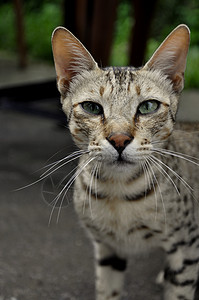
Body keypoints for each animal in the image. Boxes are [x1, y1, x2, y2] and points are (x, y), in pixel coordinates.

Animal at [51, 24, 199, 300]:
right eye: (92, 108)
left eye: (148, 106)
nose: (119, 139)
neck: (117, 193)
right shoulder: (107, 248)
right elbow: (108, 290)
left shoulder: (187, 246)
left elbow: (180, 291)